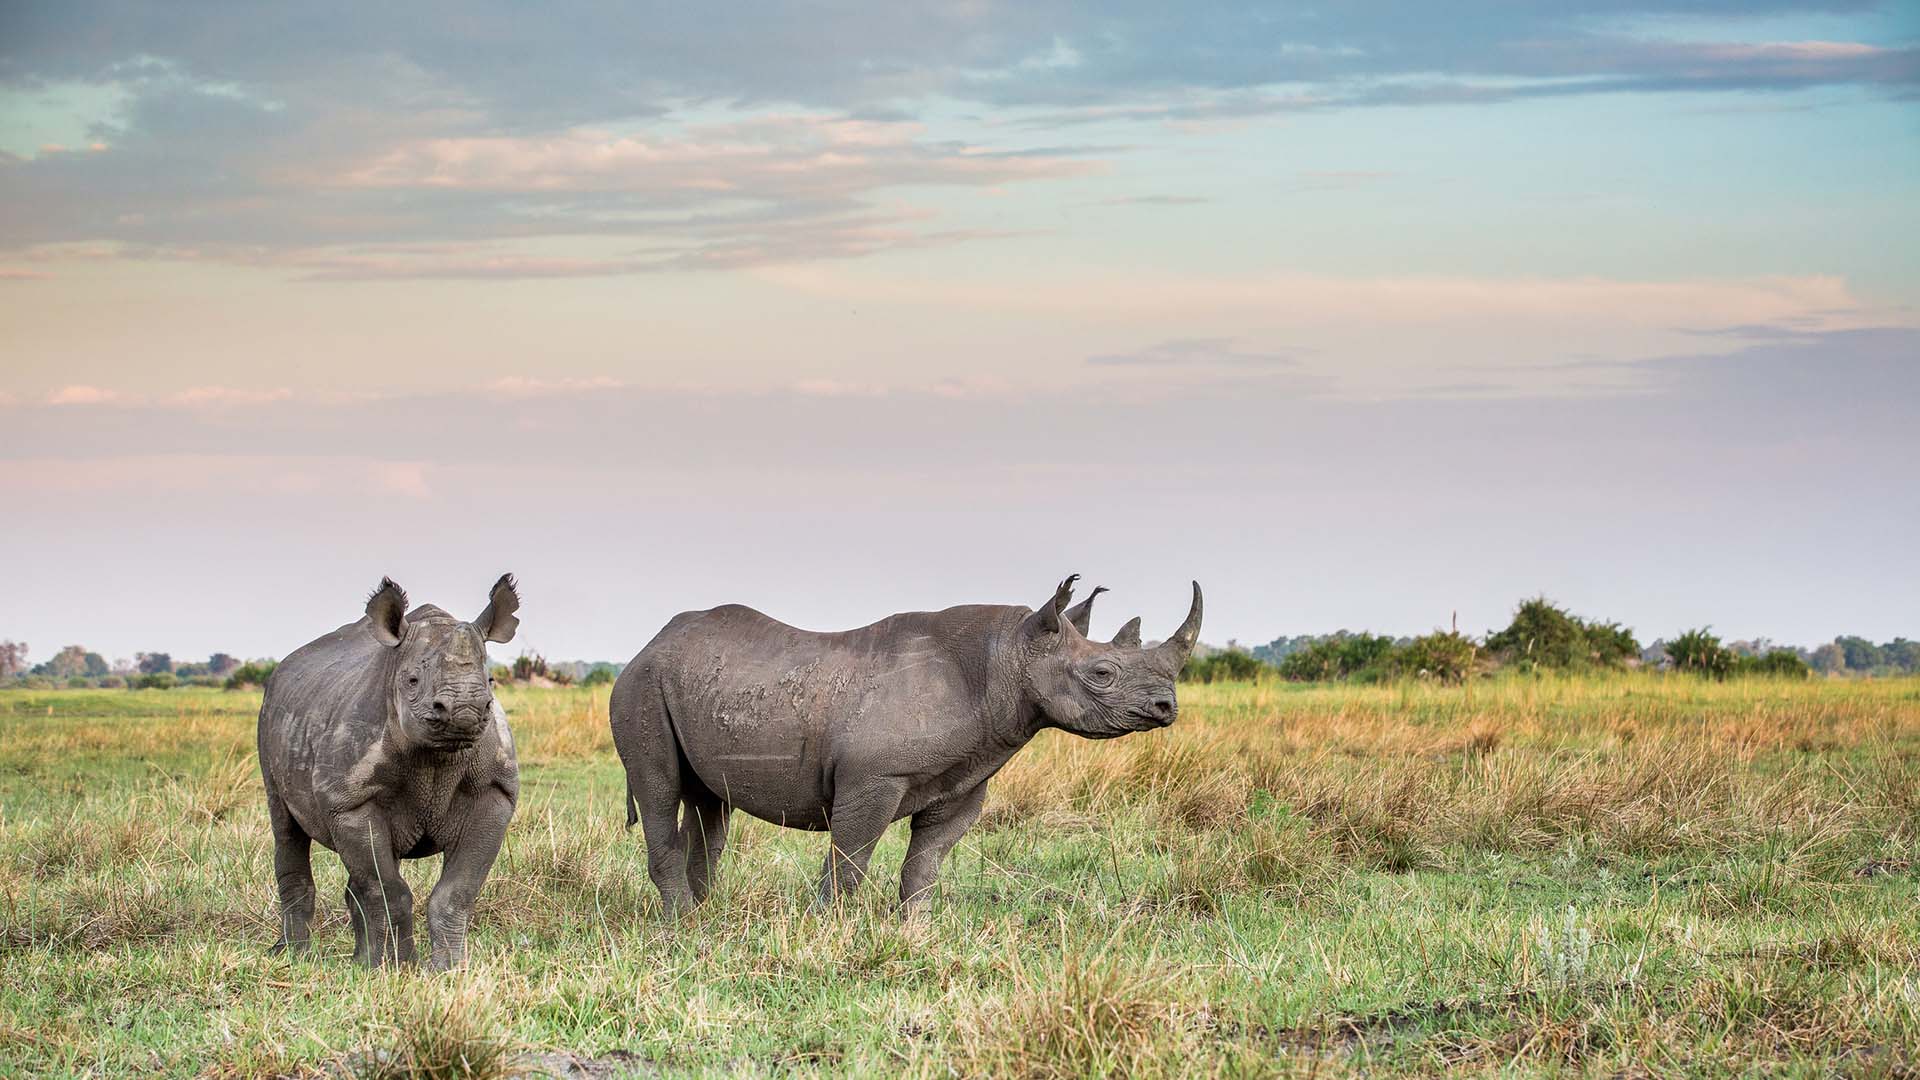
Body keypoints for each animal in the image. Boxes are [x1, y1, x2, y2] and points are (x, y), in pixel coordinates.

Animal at [257, 575, 521, 969]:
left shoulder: (495, 794)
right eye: (411, 681)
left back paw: (359, 960)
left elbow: (455, 892)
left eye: (490, 681)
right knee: (286, 828)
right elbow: (388, 890)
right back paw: (294, 954)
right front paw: (397, 968)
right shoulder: (349, 801)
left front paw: (449, 969)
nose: (464, 711)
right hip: (269, 715)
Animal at [609, 574, 1200, 913]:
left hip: (685, 684)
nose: (1165, 707)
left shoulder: (965, 778)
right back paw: (684, 927)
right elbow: (850, 859)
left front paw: (915, 929)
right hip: (639, 688)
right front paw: (827, 930)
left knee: (709, 804)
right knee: (659, 788)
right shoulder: (875, 777)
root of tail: (647, 646)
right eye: (1102, 673)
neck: (1009, 655)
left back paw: (706, 916)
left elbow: (926, 863)